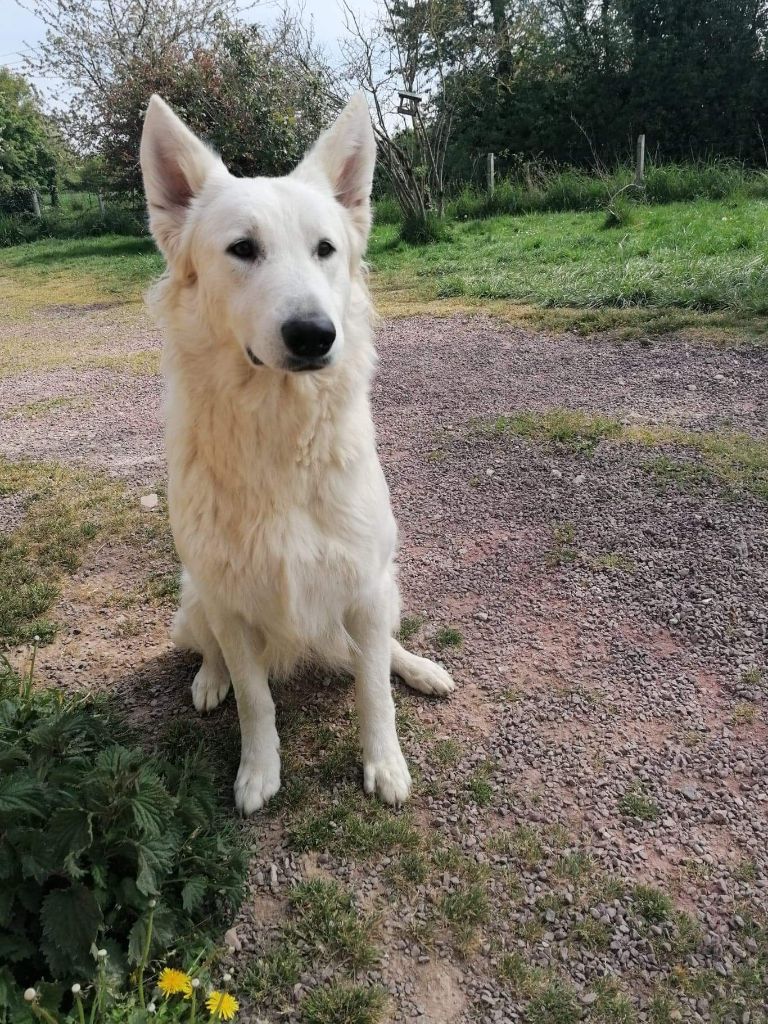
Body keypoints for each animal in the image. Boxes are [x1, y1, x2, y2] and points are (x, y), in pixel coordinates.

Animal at [140, 96, 454, 815]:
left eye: (325, 250)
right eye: (242, 249)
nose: (314, 335)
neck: (281, 436)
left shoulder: (365, 585)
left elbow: (374, 690)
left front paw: (385, 763)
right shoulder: (229, 604)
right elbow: (255, 700)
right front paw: (259, 771)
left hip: (386, 588)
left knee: (383, 650)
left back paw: (419, 667)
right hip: (194, 604)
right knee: (213, 654)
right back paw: (208, 680)